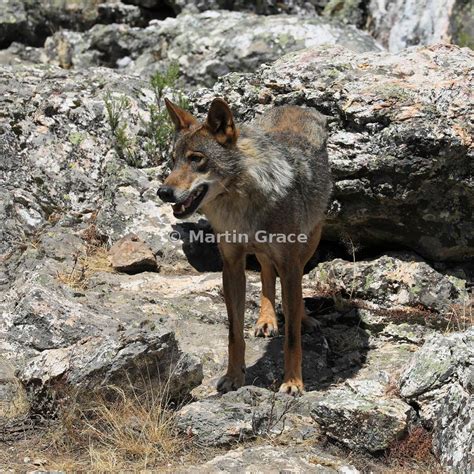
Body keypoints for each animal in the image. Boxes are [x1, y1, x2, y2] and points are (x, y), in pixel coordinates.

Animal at [157, 98, 332, 394]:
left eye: (196, 159)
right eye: (173, 161)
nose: (163, 192)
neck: (242, 204)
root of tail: (295, 105)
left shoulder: (289, 264)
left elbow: (292, 339)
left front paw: (292, 383)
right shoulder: (232, 265)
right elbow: (234, 333)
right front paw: (233, 377)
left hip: (309, 243)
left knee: (293, 291)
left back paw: (304, 318)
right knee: (266, 273)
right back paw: (266, 319)